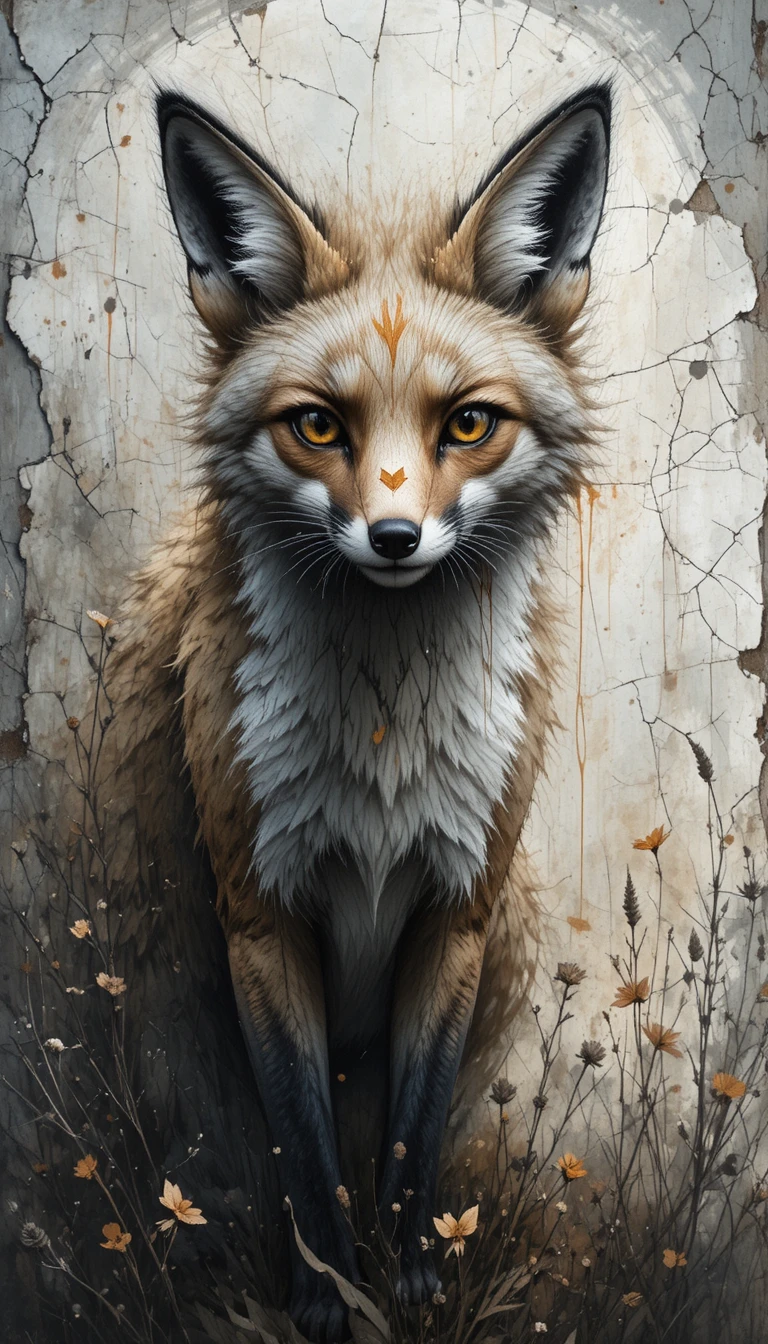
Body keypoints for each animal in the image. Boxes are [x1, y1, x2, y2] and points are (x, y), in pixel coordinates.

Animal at [101, 83, 611, 1341]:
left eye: (467, 424)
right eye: (320, 426)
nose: (393, 539)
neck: (385, 743)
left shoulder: (458, 911)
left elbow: (411, 1145)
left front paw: (414, 1282)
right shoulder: (258, 913)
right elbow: (306, 1149)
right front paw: (328, 1294)